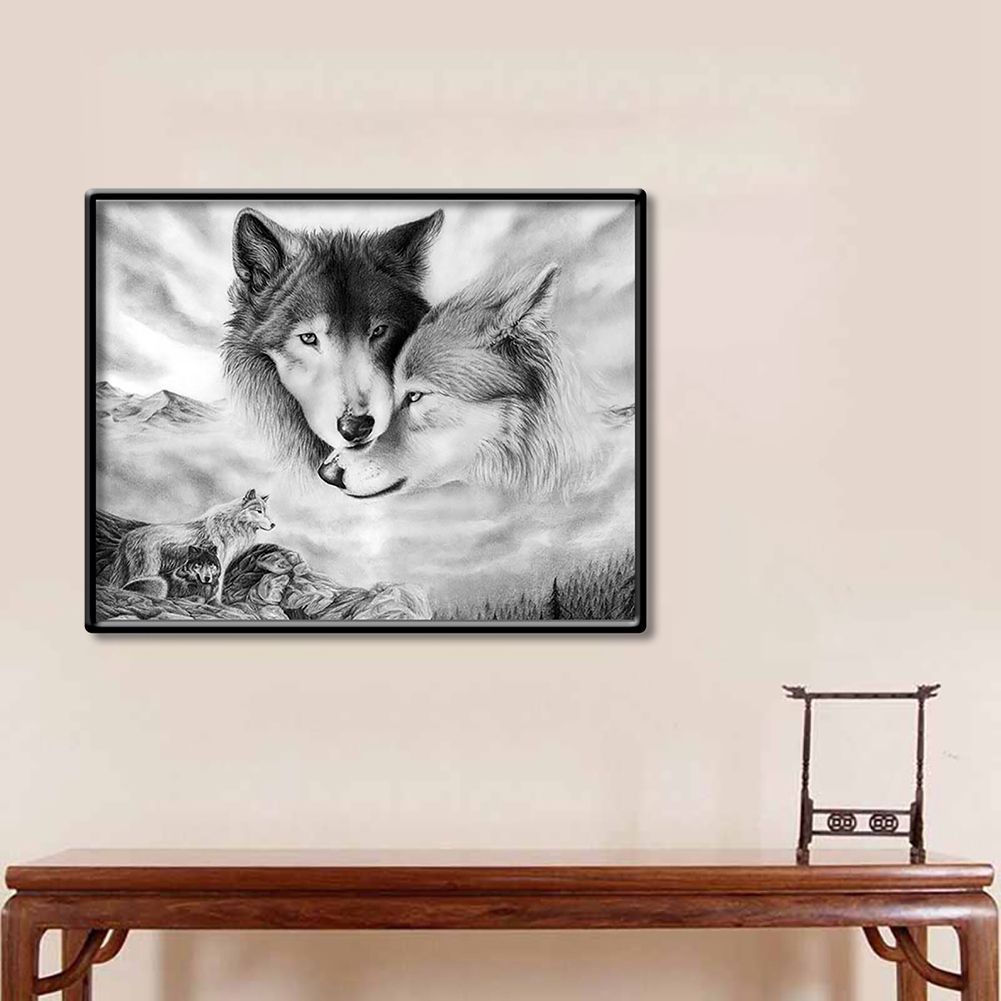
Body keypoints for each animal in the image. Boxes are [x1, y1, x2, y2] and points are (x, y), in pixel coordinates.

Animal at [111, 490, 275, 602]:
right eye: (259, 511)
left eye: (266, 512)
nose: (273, 524)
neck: (232, 524)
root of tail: (127, 536)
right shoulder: (219, 563)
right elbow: (218, 588)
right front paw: (217, 604)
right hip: (147, 570)